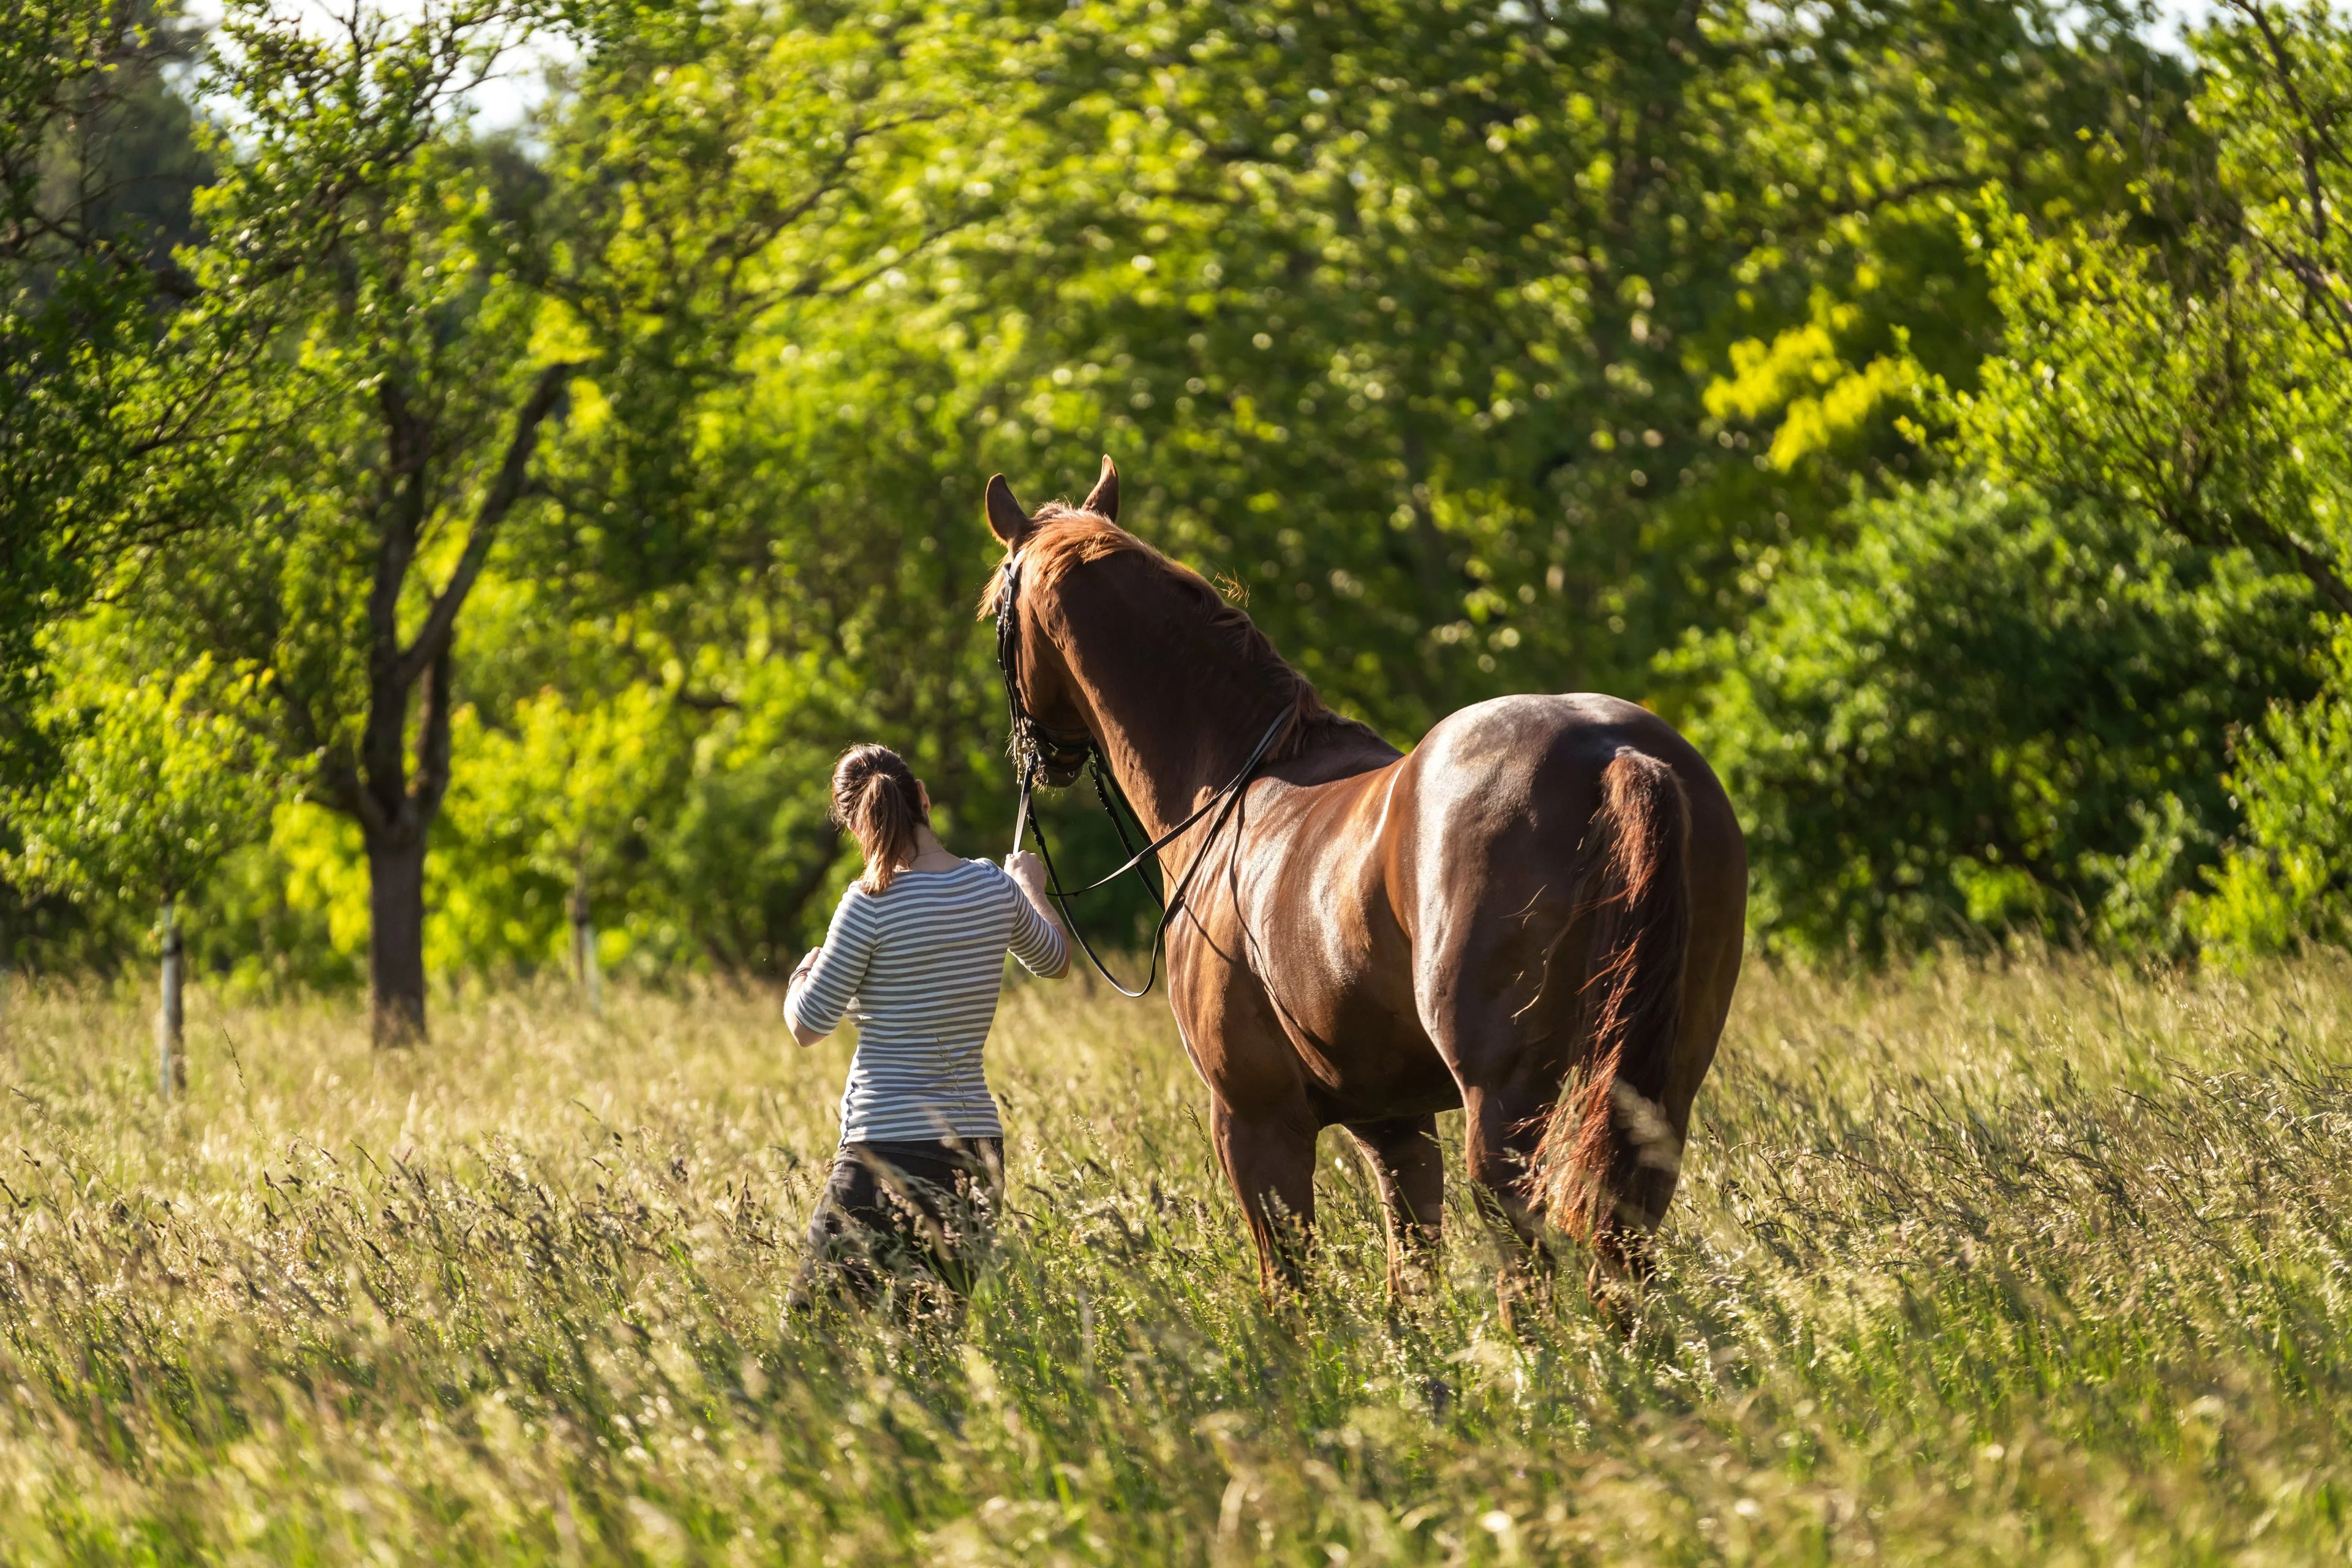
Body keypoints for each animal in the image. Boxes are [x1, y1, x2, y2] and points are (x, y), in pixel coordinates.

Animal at [984, 457, 1747, 1302]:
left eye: (995, 611)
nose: (1037, 756)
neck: (1231, 784)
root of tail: (1614, 751)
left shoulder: (1254, 1120)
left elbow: (1290, 1292)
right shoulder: (1394, 1125)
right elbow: (1409, 1282)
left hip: (1507, 1105)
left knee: (1527, 1266)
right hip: (1656, 1090)